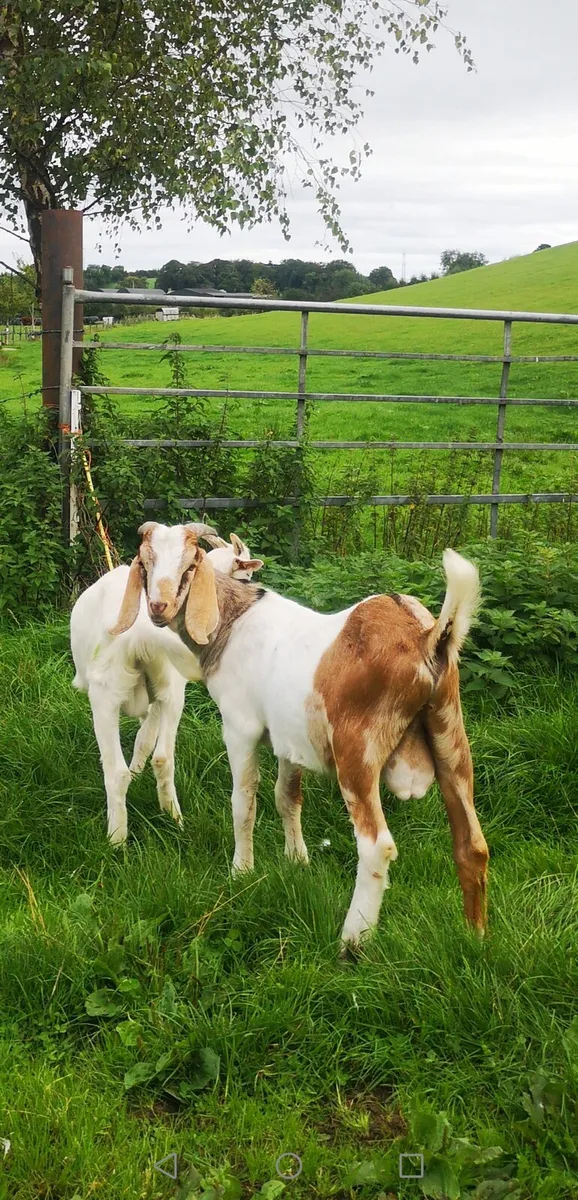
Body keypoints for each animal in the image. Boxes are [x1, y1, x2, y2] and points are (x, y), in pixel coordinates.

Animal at [70, 527, 263, 844]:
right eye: (245, 576)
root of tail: (140, 634)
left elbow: (143, 740)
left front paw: (136, 772)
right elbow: (146, 739)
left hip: (112, 695)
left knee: (128, 767)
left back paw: (123, 836)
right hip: (160, 690)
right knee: (157, 759)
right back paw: (154, 826)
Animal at [111, 522, 489, 949]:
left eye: (191, 564)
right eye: (145, 562)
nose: (159, 607)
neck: (232, 622)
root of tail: (428, 638)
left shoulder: (239, 727)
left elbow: (244, 801)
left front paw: (241, 871)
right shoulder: (288, 741)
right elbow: (287, 798)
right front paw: (298, 861)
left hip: (357, 751)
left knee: (377, 846)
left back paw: (352, 943)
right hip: (451, 737)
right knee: (473, 843)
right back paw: (475, 937)